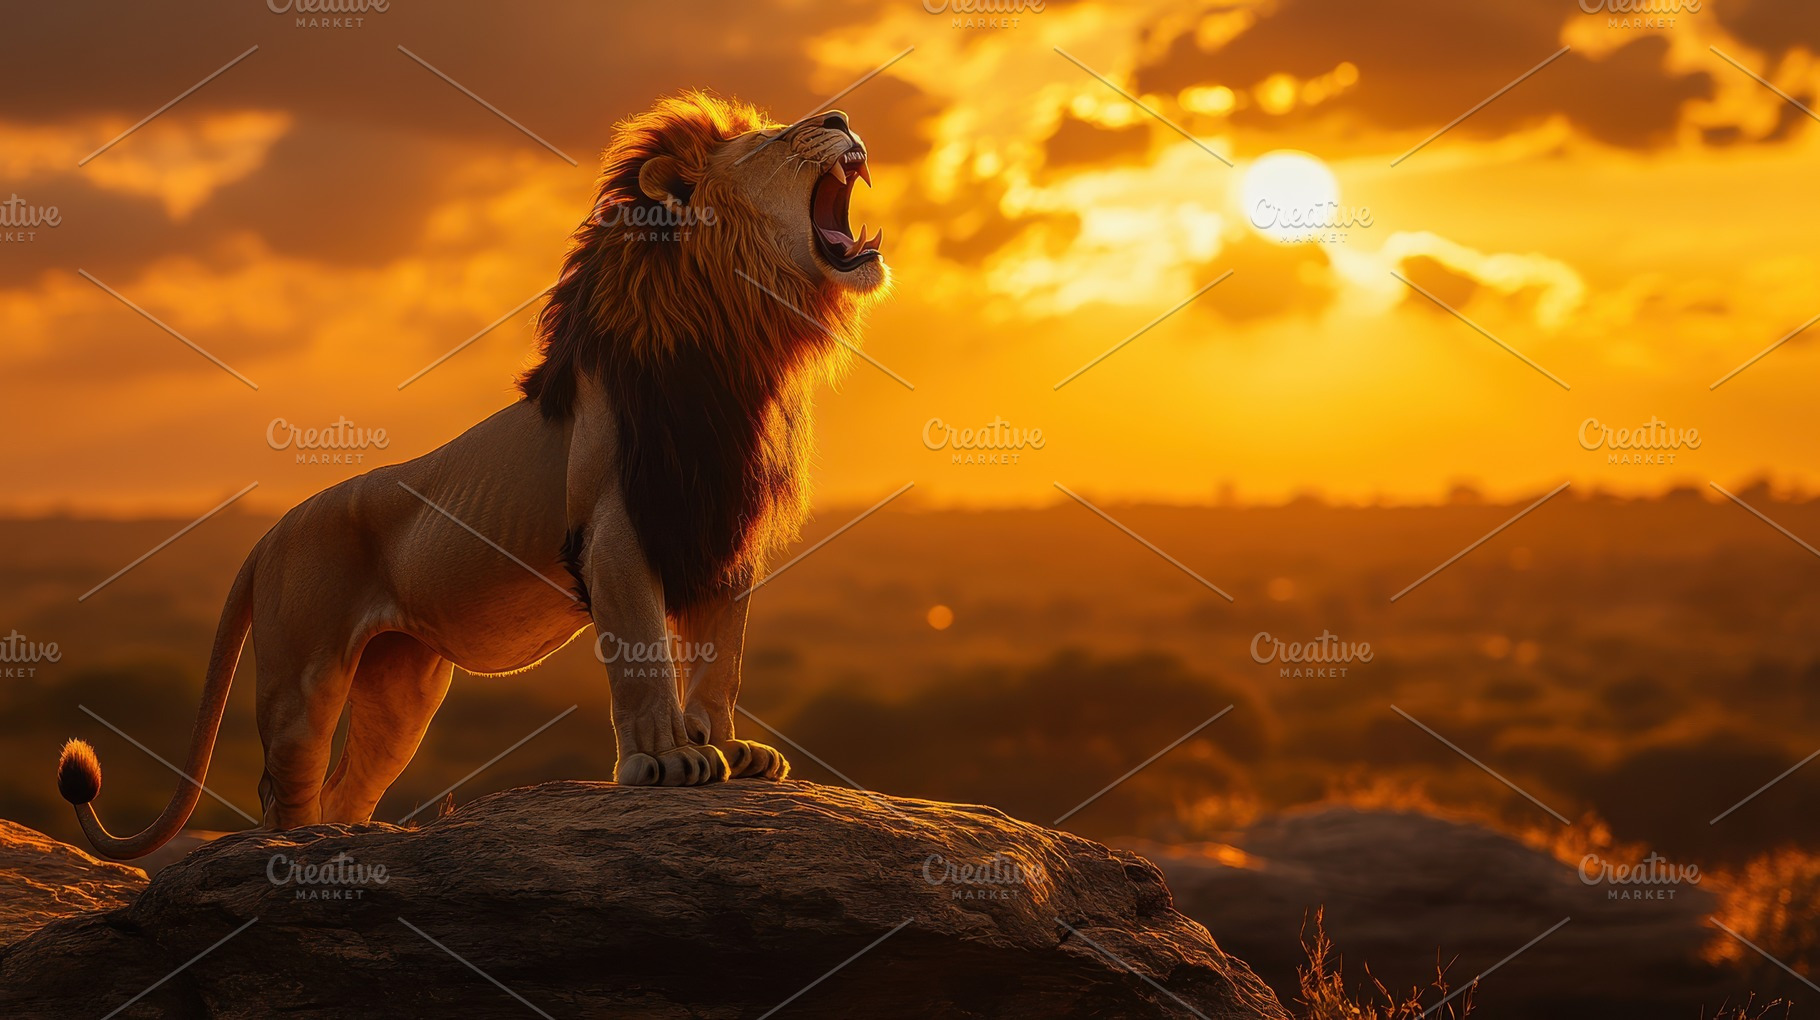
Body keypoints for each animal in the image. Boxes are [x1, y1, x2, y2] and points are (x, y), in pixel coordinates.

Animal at [56, 92, 891, 860]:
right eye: (780, 139)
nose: (844, 117)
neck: (738, 344)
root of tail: (272, 531)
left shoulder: (722, 535)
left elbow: (721, 664)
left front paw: (729, 749)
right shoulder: (615, 532)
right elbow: (646, 657)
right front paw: (665, 758)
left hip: (403, 688)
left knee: (345, 789)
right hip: (302, 682)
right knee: (285, 795)